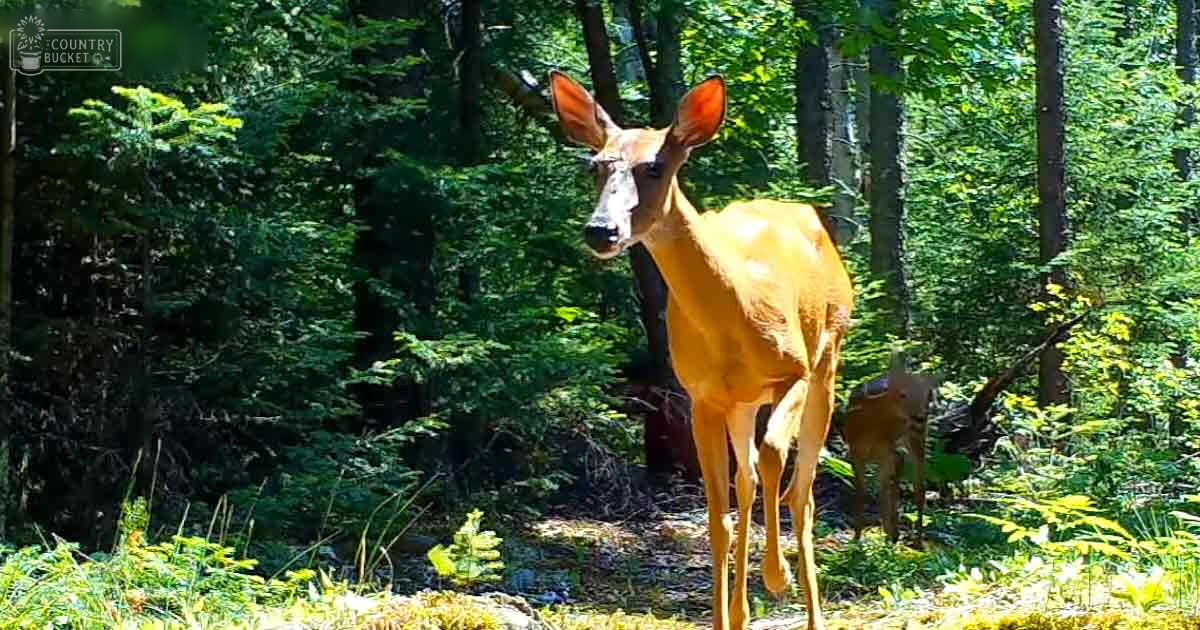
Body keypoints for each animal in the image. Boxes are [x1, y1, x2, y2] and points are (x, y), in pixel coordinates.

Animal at [549, 70, 854, 630]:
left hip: (828, 360)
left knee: (800, 489)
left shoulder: (793, 372)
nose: (601, 230)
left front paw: (776, 576)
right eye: (593, 166)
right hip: (741, 402)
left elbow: (776, 458)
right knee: (749, 479)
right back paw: (741, 611)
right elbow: (718, 515)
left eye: (655, 166)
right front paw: (727, 612)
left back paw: (806, 607)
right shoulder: (702, 396)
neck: (736, 312)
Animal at [842, 357, 937, 544]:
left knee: (919, 486)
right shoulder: (855, 453)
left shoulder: (885, 452)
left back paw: (916, 540)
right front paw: (857, 538)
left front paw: (889, 535)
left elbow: (882, 490)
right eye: (902, 394)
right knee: (895, 479)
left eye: (924, 396)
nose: (920, 417)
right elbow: (862, 492)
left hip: (915, 439)